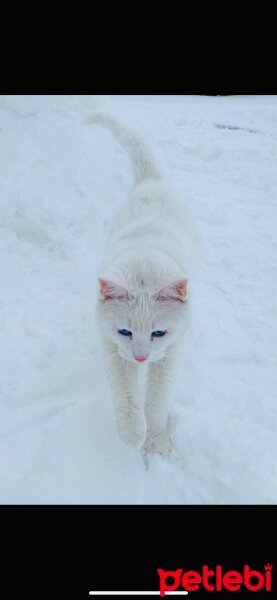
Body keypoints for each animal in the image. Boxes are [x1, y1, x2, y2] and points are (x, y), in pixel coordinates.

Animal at [85, 111, 199, 454]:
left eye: (158, 332)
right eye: (125, 331)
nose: (140, 357)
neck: (145, 257)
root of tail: (151, 180)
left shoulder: (172, 351)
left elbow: (158, 399)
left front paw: (156, 440)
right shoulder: (111, 345)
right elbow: (125, 391)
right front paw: (133, 432)